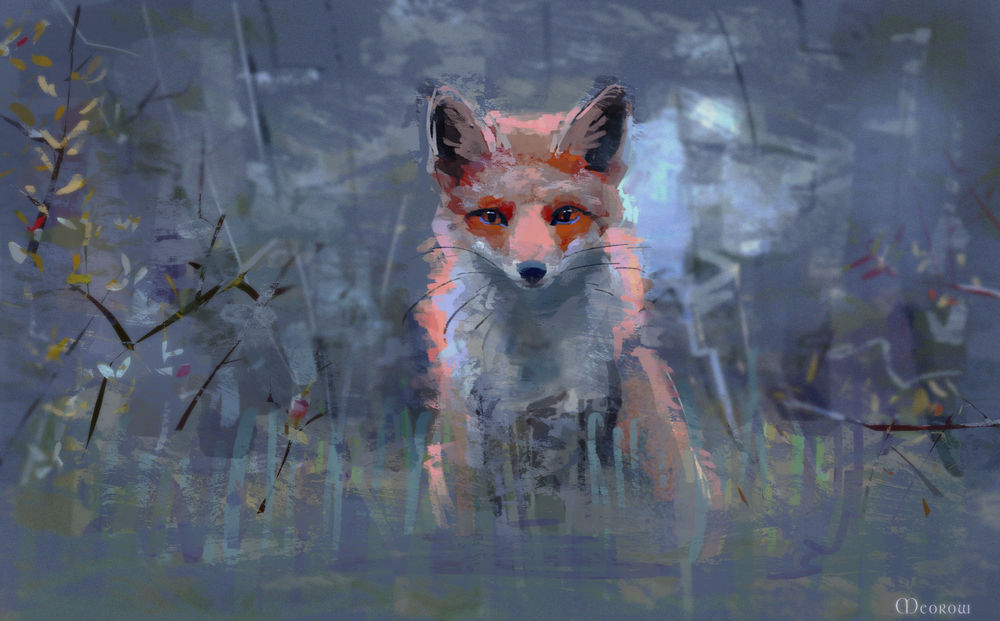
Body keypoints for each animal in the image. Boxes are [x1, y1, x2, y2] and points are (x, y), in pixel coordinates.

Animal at [414, 81, 719, 531]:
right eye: (491, 216)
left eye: (565, 214)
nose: (532, 270)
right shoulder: (487, 429)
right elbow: (505, 524)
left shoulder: (590, 423)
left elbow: (588, 515)